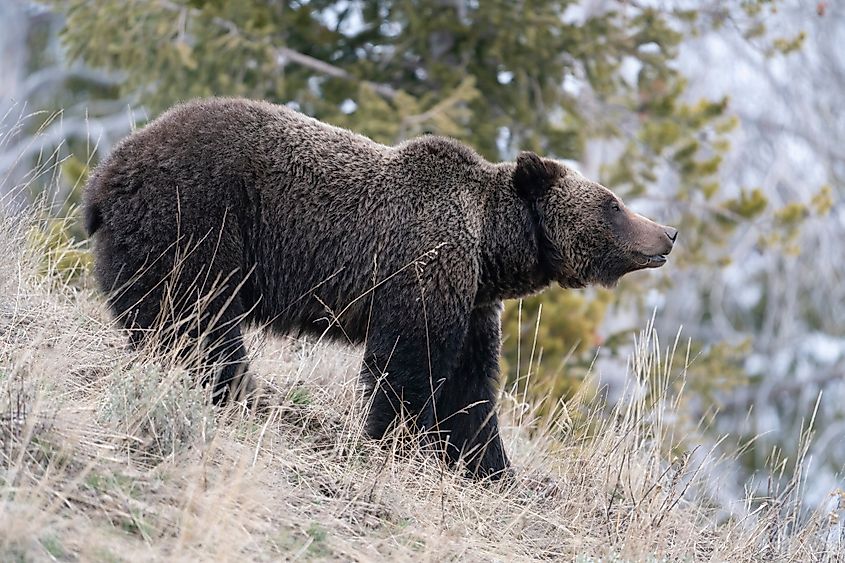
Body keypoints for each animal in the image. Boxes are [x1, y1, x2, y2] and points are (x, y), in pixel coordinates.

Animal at [83, 97, 677, 480]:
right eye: (614, 204)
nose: (667, 233)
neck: (490, 247)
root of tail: (111, 167)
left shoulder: (473, 301)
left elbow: (470, 388)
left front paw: (490, 467)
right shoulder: (423, 264)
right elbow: (410, 364)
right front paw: (394, 440)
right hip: (199, 218)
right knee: (196, 315)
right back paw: (230, 386)